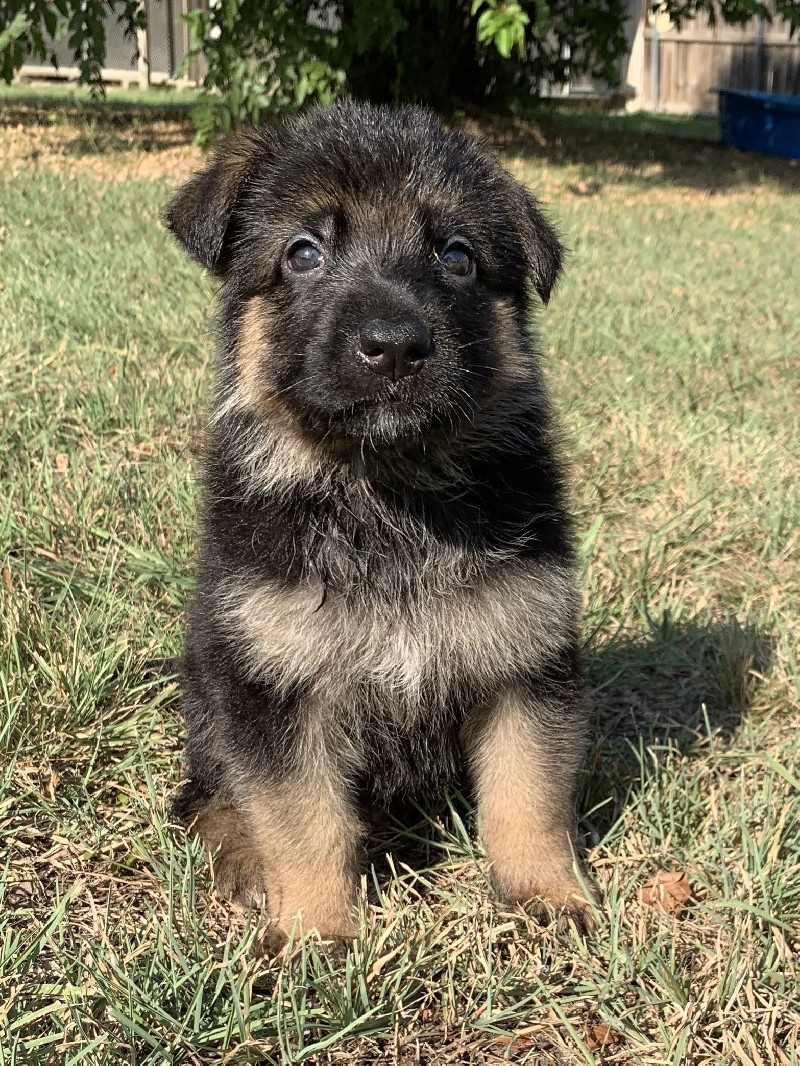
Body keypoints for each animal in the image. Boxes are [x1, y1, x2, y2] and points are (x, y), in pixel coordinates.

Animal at [166, 101, 597, 942]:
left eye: (457, 257)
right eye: (303, 252)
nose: (394, 347)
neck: (385, 490)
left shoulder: (526, 662)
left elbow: (528, 794)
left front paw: (545, 893)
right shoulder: (276, 688)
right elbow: (302, 818)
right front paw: (317, 930)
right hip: (209, 686)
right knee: (204, 794)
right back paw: (241, 854)